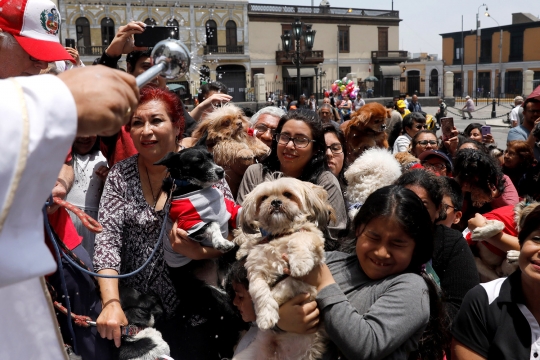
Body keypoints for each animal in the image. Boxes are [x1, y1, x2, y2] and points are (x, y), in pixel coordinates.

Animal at [233, 178, 334, 360]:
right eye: (264, 197)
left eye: (288, 194)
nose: (275, 202)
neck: (280, 234)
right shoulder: (256, 269)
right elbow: (259, 291)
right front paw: (266, 315)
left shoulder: (314, 245)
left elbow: (299, 239)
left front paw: (299, 262)